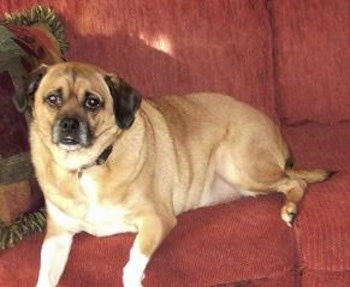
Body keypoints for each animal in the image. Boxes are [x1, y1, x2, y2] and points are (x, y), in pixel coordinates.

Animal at [27, 62, 330, 287]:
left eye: (93, 102)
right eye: (52, 98)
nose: (69, 125)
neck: (87, 167)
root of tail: (274, 128)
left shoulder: (156, 220)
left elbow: (130, 264)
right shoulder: (57, 235)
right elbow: (43, 278)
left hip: (240, 167)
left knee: (296, 180)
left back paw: (289, 209)